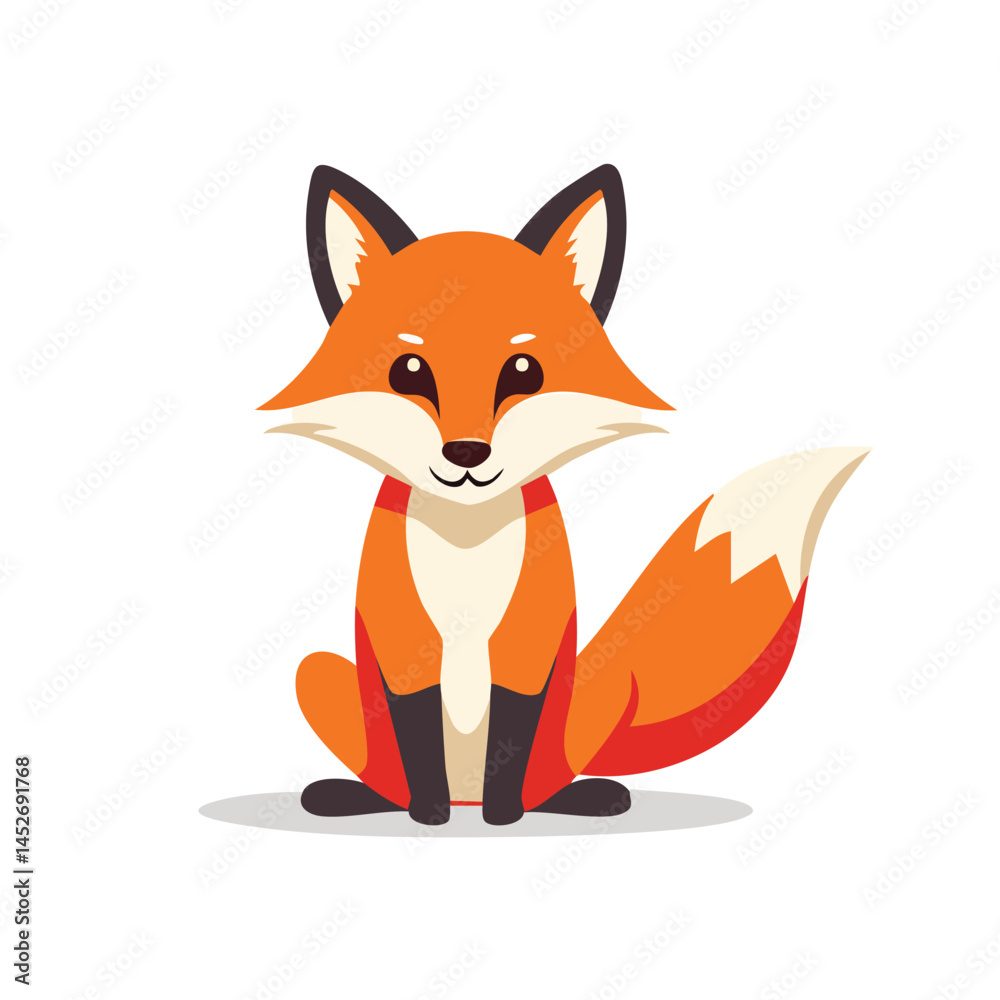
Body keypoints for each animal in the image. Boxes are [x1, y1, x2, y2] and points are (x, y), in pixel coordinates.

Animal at [258, 163, 868, 826]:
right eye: (409, 373)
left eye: (524, 372)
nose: (467, 453)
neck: (467, 543)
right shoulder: (402, 645)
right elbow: (417, 736)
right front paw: (430, 817)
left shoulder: (531, 642)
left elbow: (512, 736)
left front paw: (503, 818)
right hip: (317, 676)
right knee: (382, 772)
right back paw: (356, 797)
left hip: (595, 696)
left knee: (551, 778)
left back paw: (579, 797)